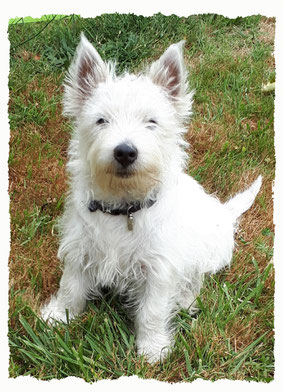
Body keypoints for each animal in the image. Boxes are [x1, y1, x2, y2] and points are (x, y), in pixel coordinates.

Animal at [41, 34, 262, 364]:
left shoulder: (159, 268)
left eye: (152, 122)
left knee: (196, 279)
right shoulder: (80, 248)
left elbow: (152, 311)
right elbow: (70, 285)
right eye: (101, 120)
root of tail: (224, 212)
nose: (125, 151)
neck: (124, 208)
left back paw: (185, 300)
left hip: (209, 253)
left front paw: (152, 348)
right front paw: (58, 317)